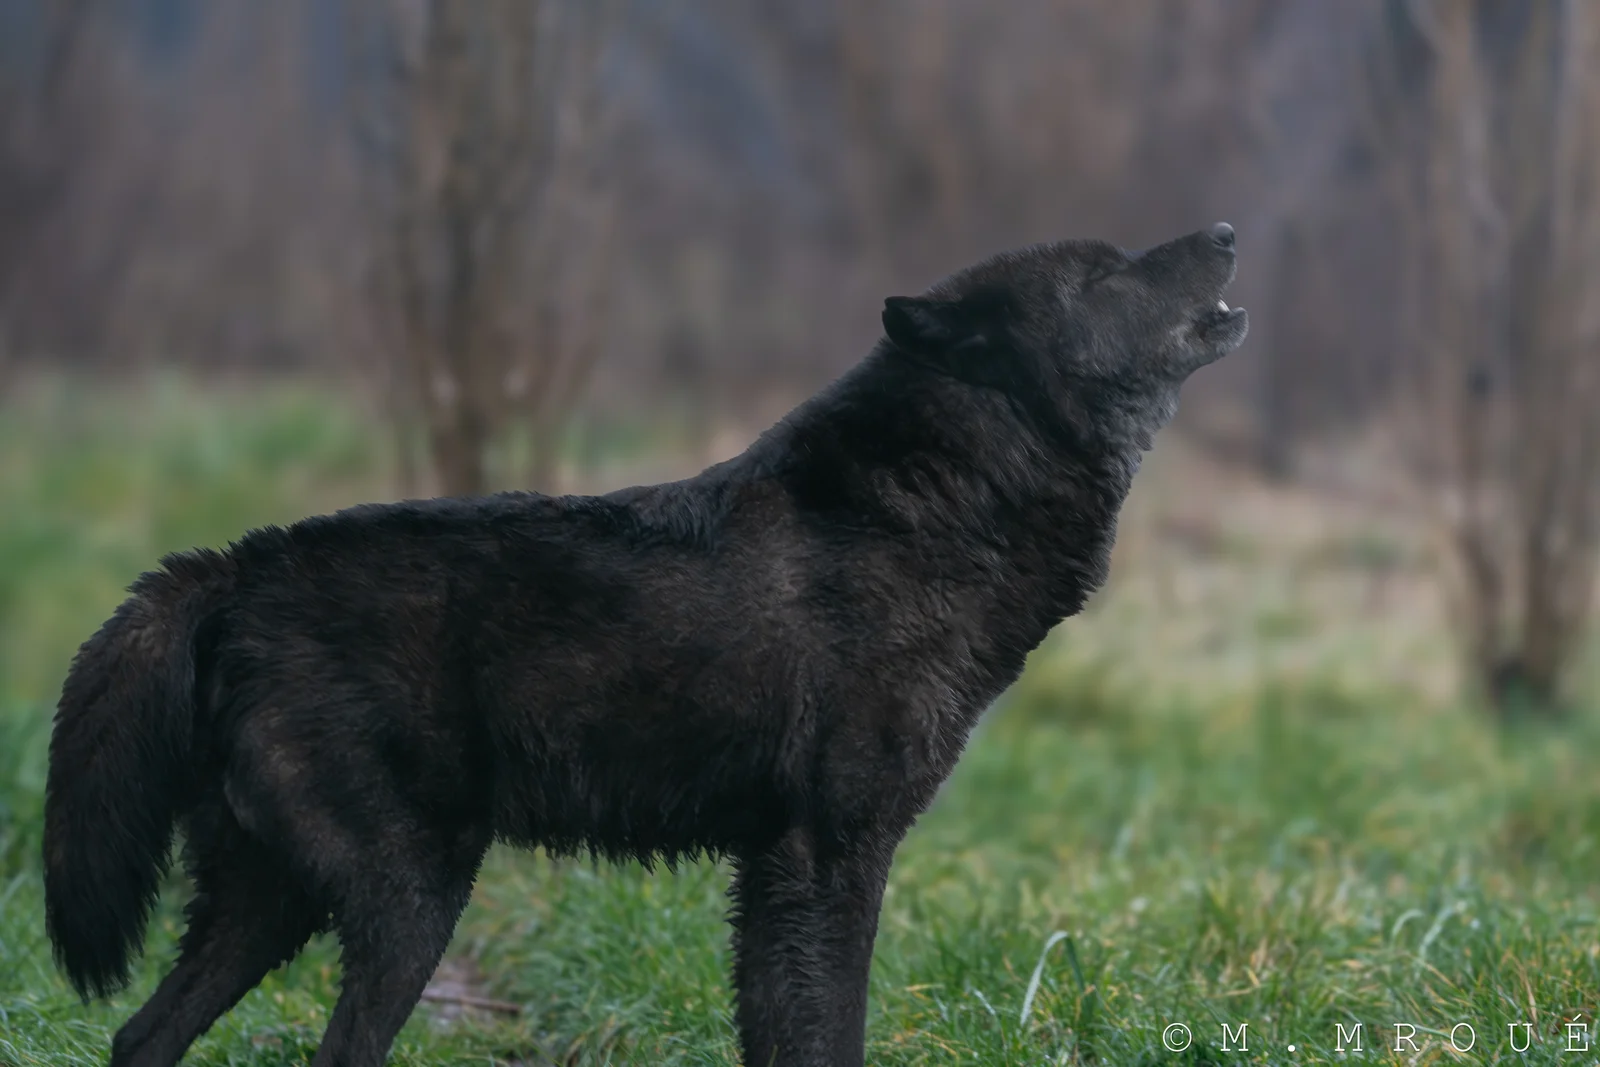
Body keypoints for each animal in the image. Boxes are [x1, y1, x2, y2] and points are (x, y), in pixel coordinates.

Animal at [43, 224, 1247, 1066]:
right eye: (1106, 275)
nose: (1231, 230)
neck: (930, 512)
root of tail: (230, 567)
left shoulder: (771, 871)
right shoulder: (831, 855)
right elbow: (834, 1029)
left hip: (271, 902)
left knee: (138, 1036)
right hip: (409, 898)